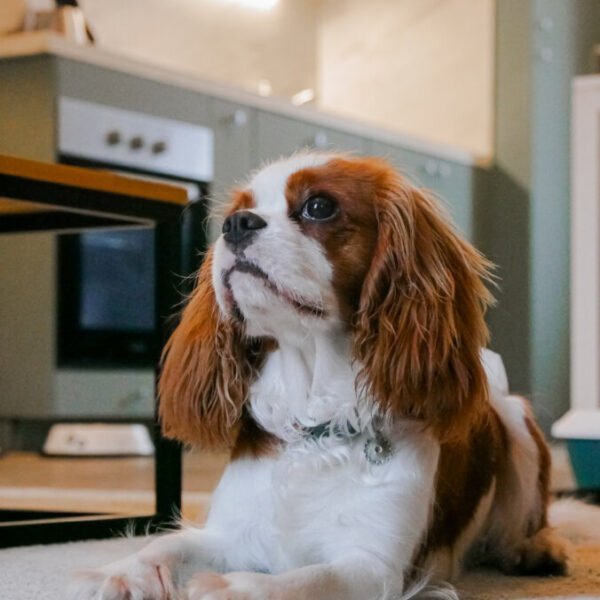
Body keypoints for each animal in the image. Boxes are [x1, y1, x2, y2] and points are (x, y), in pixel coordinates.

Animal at [70, 155, 568, 600]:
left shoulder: (374, 566)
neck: (316, 422)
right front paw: (118, 573)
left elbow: (305, 580)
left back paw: (535, 548)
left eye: (319, 206)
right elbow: (168, 544)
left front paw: (230, 587)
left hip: (517, 422)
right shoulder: (232, 532)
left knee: (529, 519)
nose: (237, 224)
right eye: (237, 211)